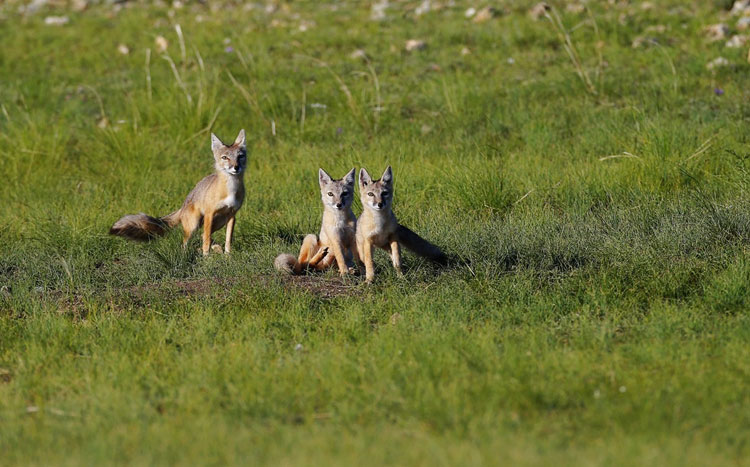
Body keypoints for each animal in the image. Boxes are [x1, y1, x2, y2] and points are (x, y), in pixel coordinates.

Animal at [110, 130, 248, 258]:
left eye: (240, 156)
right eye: (225, 157)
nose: (236, 167)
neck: (231, 190)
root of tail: (183, 206)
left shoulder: (232, 215)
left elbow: (228, 240)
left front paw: (228, 256)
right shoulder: (210, 213)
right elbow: (207, 240)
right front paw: (207, 258)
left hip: (220, 221)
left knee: (202, 235)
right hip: (194, 225)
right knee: (188, 241)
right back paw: (187, 255)